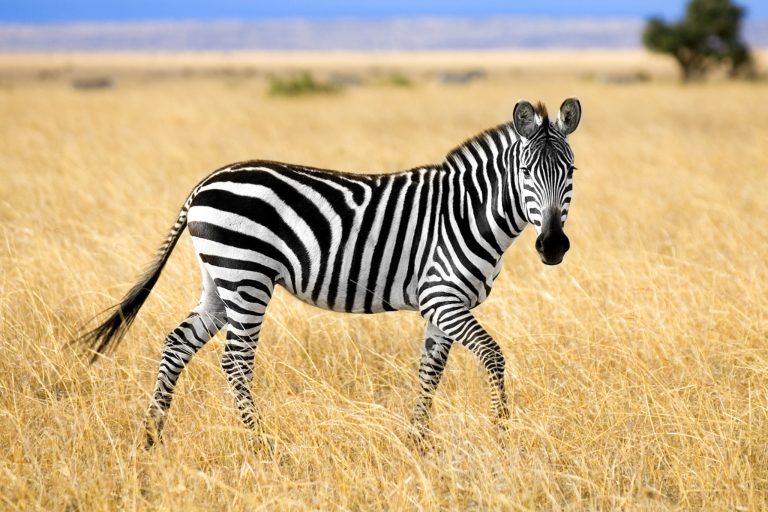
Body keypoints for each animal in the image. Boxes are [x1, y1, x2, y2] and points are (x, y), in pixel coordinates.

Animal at [79, 98, 581, 448]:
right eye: (526, 171)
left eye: (571, 171)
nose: (553, 246)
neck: (466, 211)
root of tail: (205, 183)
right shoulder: (442, 296)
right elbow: (493, 357)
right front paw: (502, 433)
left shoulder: (442, 307)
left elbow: (430, 372)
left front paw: (418, 442)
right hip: (247, 276)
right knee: (236, 361)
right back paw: (260, 446)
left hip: (219, 281)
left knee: (177, 343)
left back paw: (151, 436)